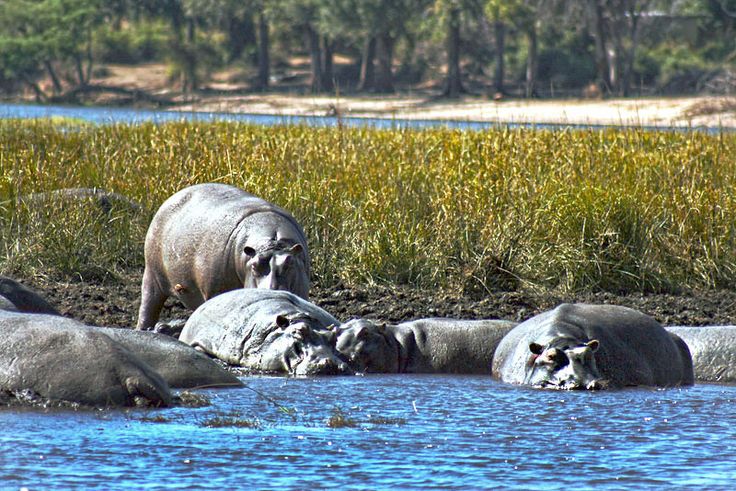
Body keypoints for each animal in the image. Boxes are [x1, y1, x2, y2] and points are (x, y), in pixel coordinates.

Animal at [137, 183, 310, 329]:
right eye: (254, 266)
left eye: (290, 263)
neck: (273, 243)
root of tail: (174, 196)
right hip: (152, 275)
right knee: (148, 307)